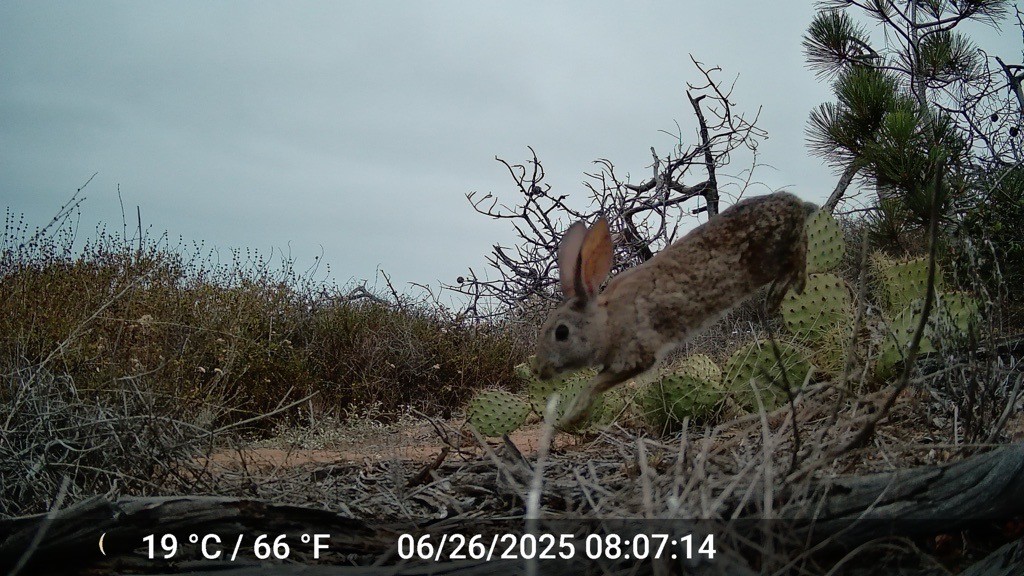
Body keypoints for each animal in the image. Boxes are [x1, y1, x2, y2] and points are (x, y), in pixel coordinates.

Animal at [533, 192, 818, 427]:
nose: (539, 371)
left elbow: (594, 385)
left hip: (773, 254)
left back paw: (779, 296)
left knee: (800, 256)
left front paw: (570, 418)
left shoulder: (635, 354)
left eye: (561, 333)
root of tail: (794, 203)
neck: (606, 322)